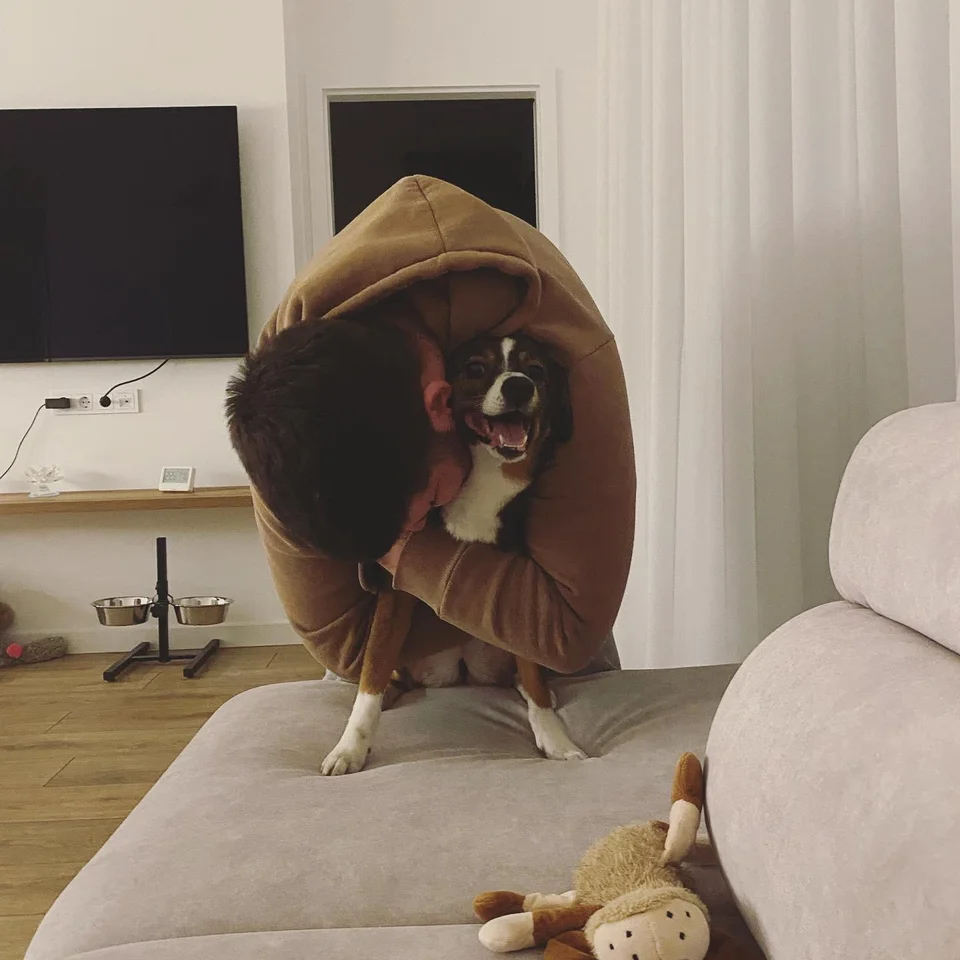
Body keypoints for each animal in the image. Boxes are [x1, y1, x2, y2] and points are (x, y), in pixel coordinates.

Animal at [320, 333, 586, 776]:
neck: (488, 479)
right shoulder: (395, 592)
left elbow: (533, 675)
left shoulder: (520, 600)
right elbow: (371, 674)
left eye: (535, 371)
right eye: (475, 368)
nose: (519, 387)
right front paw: (350, 746)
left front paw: (554, 737)